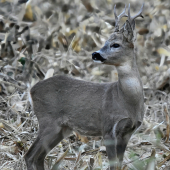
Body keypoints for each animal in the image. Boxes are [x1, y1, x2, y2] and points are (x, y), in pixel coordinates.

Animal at [24, 2, 145, 170]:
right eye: (104, 42)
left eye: (116, 45)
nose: (95, 54)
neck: (126, 100)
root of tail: (32, 90)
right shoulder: (108, 128)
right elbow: (113, 165)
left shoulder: (127, 132)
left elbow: (119, 165)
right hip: (48, 121)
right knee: (30, 155)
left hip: (62, 129)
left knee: (38, 156)